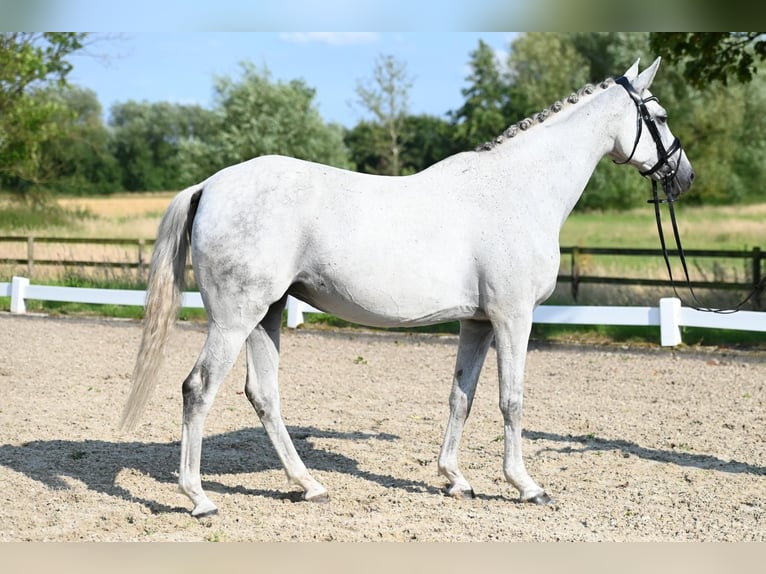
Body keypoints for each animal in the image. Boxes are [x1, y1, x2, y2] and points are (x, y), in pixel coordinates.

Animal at [120, 58, 696, 516]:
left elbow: (461, 397)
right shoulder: (513, 316)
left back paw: (308, 485)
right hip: (235, 317)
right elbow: (511, 400)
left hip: (269, 312)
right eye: (661, 116)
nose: (684, 176)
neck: (518, 189)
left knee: (263, 394)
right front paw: (526, 486)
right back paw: (198, 498)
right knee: (198, 388)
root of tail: (210, 186)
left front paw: (456, 479)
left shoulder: (478, 322)